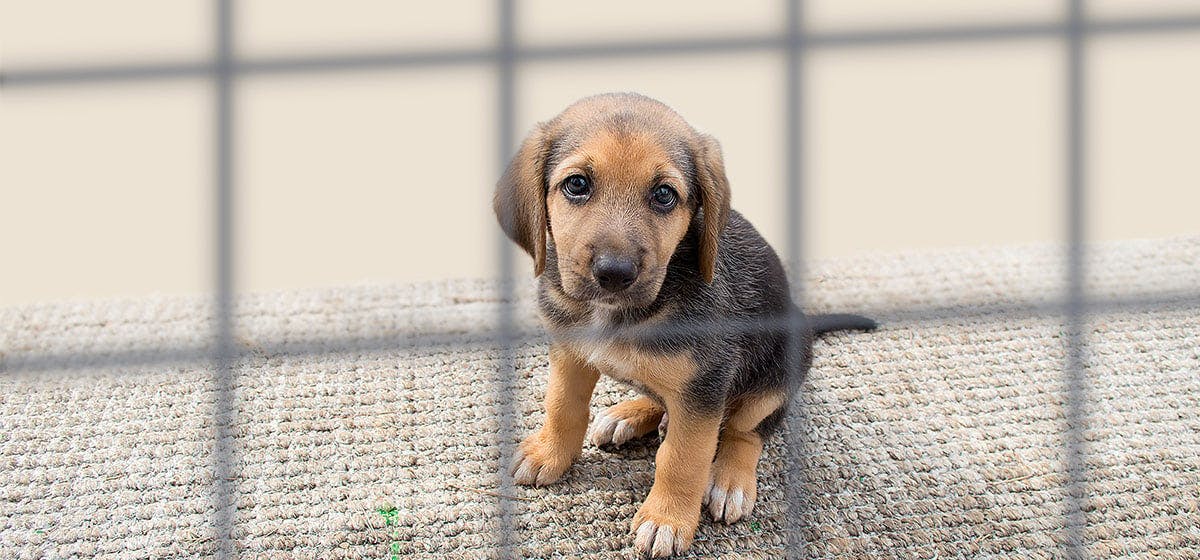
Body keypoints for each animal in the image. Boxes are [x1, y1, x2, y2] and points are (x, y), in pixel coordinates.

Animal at [492, 92, 878, 556]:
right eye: (577, 185)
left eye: (664, 195)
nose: (614, 273)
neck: (619, 314)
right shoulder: (569, 353)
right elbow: (563, 406)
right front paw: (549, 453)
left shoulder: (705, 384)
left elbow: (683, 458)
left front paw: (667, 519)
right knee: (664, 398)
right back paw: (629, 414)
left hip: (777, 373)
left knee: (747, 431)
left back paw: (730, 480)